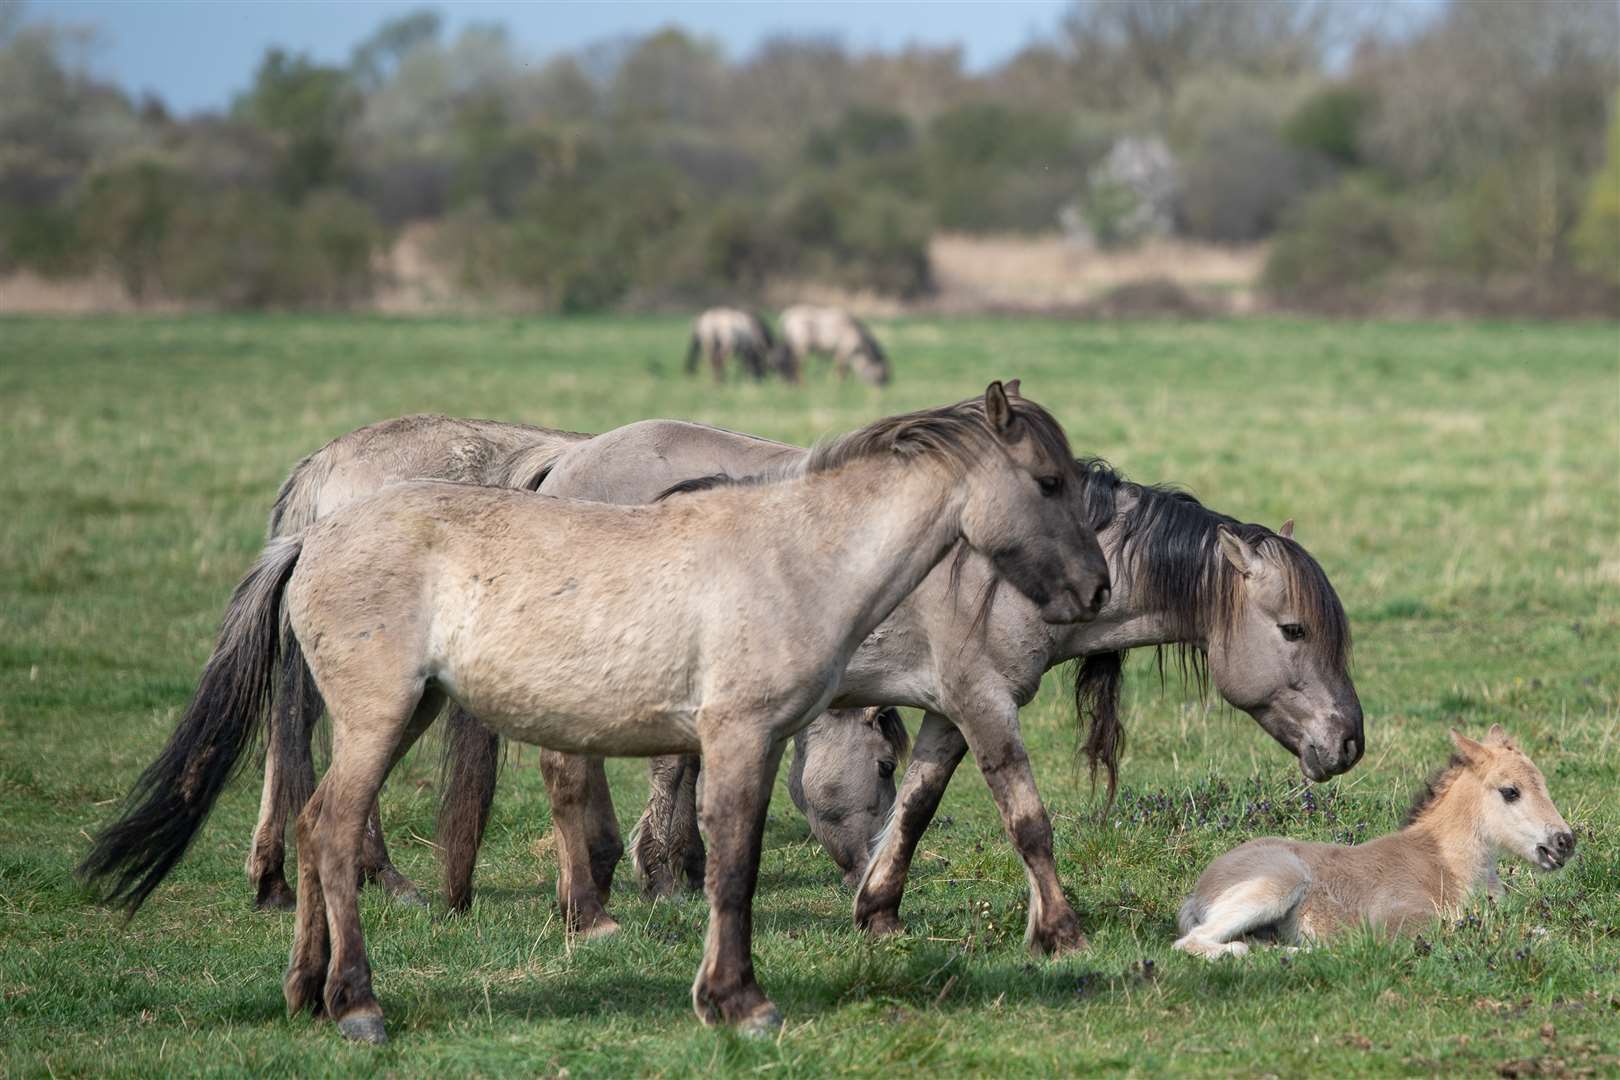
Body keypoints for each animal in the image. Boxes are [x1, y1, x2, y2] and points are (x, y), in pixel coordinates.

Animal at [76, 386, 1114, 1036]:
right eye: (1049, 482)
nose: (1094, 588)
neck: (796, 554)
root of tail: (312, 535)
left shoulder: (752, 742)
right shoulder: (737, 738)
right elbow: (731, 867)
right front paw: (740, 1002)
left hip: (409, 713)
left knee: (307, 821)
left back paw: (303, 991)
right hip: (378, 720)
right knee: (331, 827)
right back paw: (358, 1005)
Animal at [447, 420, 1367, 952]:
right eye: (1294, 631)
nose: (1351, 741)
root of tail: (561, 467)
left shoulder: (950, 713)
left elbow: (918, 810)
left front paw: (880, 910)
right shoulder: (983, 701)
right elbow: (1028, 819)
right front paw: (1059, 931)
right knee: (568, 774)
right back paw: (590, 910)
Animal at [1172, 722, 1574, 958]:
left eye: (1544, 783)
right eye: (1510, 791)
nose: (1564, 842)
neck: (1445, 864)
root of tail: (1199, 889)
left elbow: (1538, 931)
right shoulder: (1396, 920)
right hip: (1278, 882)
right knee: (1193, 942)